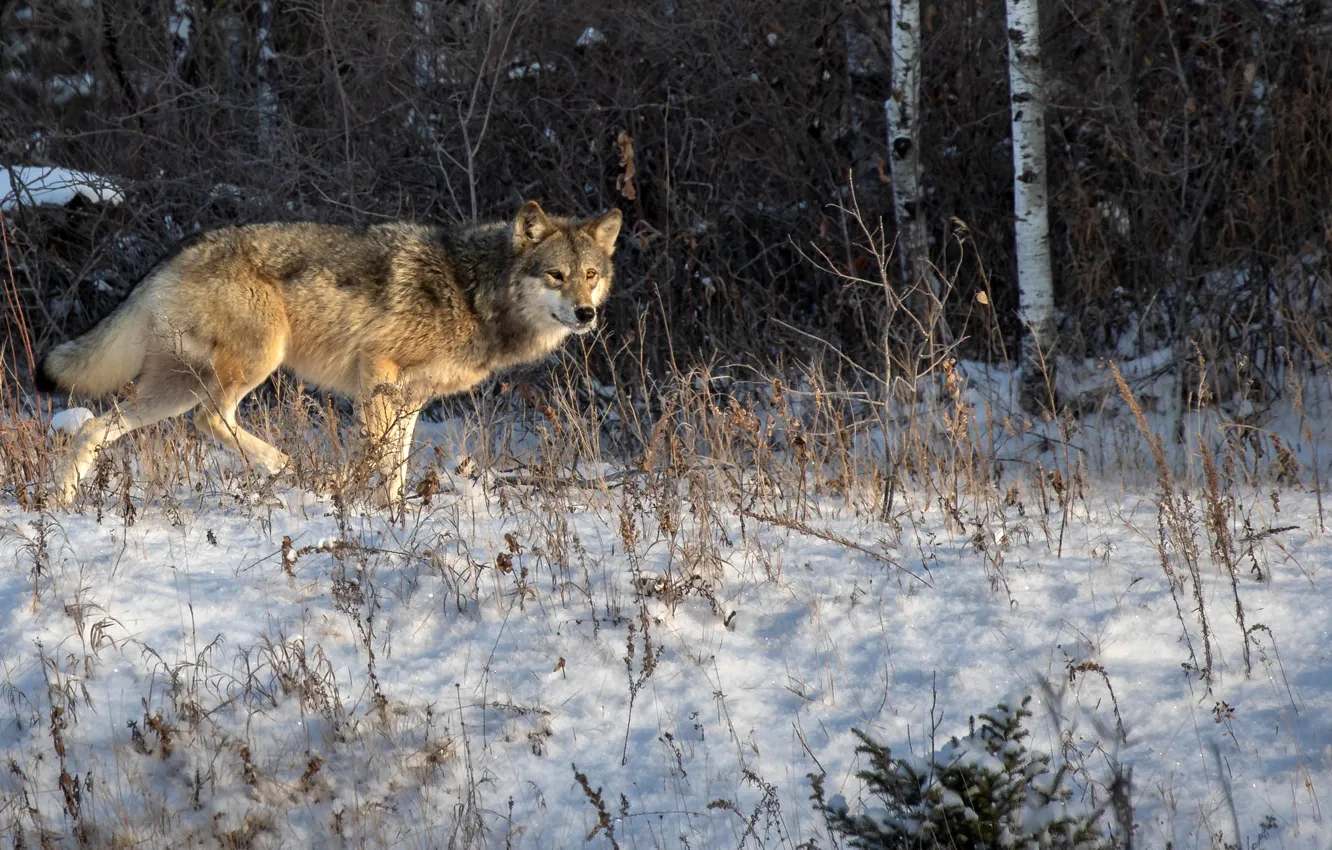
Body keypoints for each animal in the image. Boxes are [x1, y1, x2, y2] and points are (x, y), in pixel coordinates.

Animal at [39, 201, 623, 506]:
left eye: (591, 275)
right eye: (556, 275)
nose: (585, 314)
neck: (473, 290)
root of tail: (174, 253)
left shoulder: (411, 399)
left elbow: (397, 463)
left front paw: (394, 513)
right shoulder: (377, 372)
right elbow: (380, 458)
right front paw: (373, 507)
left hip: (173, 388)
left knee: (95, 426)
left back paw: (62, 501)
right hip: (250, 364)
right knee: (210, 418)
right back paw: (284, 466)